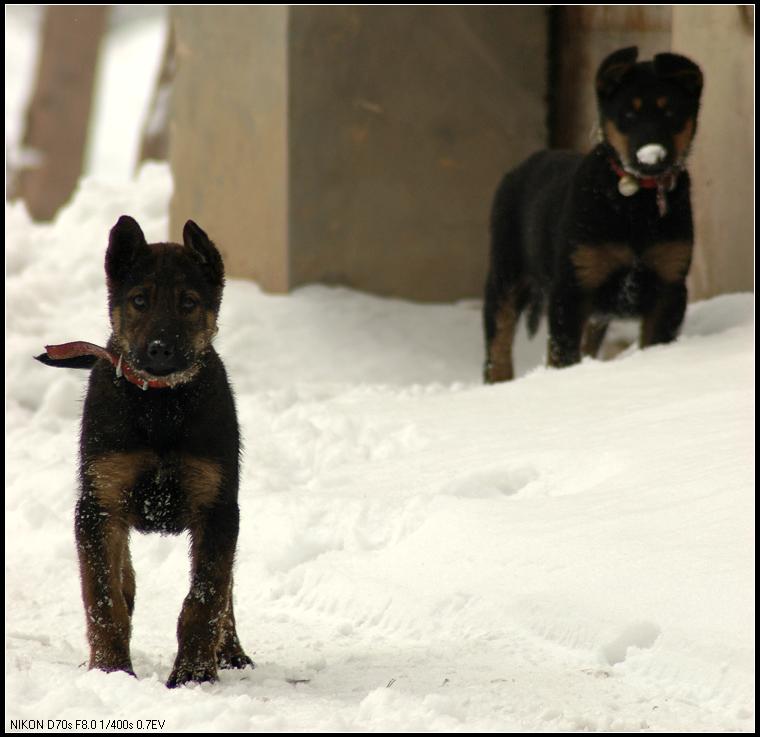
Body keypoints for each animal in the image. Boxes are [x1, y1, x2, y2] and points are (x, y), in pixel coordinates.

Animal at [35, 216, 252, 688]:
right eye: (138, 300)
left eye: (188, 302)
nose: (159, 349)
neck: (160, 404)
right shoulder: (99, 503)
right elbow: (103, 597)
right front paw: (111, 669)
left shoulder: (217, 506)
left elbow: (206, 596)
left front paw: (194, 674)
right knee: (123, 575)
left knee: (226, 590)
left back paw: (231, 652)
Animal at [484, 46, 704, 382]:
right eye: (628, 115)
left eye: (671, 113)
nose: (651, 157)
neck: (636, 203)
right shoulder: (573, 285)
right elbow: (562, 353)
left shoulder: (669, 284)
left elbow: (654, 342)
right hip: (506, 271)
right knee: (498, 338)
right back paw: (498, 382)